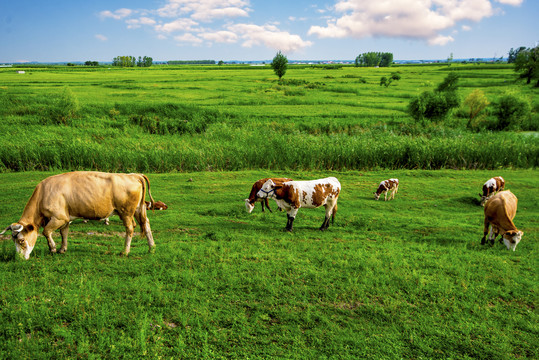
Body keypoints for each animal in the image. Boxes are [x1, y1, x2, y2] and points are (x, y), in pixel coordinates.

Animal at [0, 172, 156, 258]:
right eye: (13, 240)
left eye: (21, 240)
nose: (19, 258)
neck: (44, 193)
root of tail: (133, 175)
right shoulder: (66, 218)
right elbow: (64, 233)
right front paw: (62, 249)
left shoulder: (59, 217)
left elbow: (46, 232)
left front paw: (53, 248)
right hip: (139, 209)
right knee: (146, 224)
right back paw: (151, 248)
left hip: (126, 212)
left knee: (130, 228)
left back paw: (125, 252)